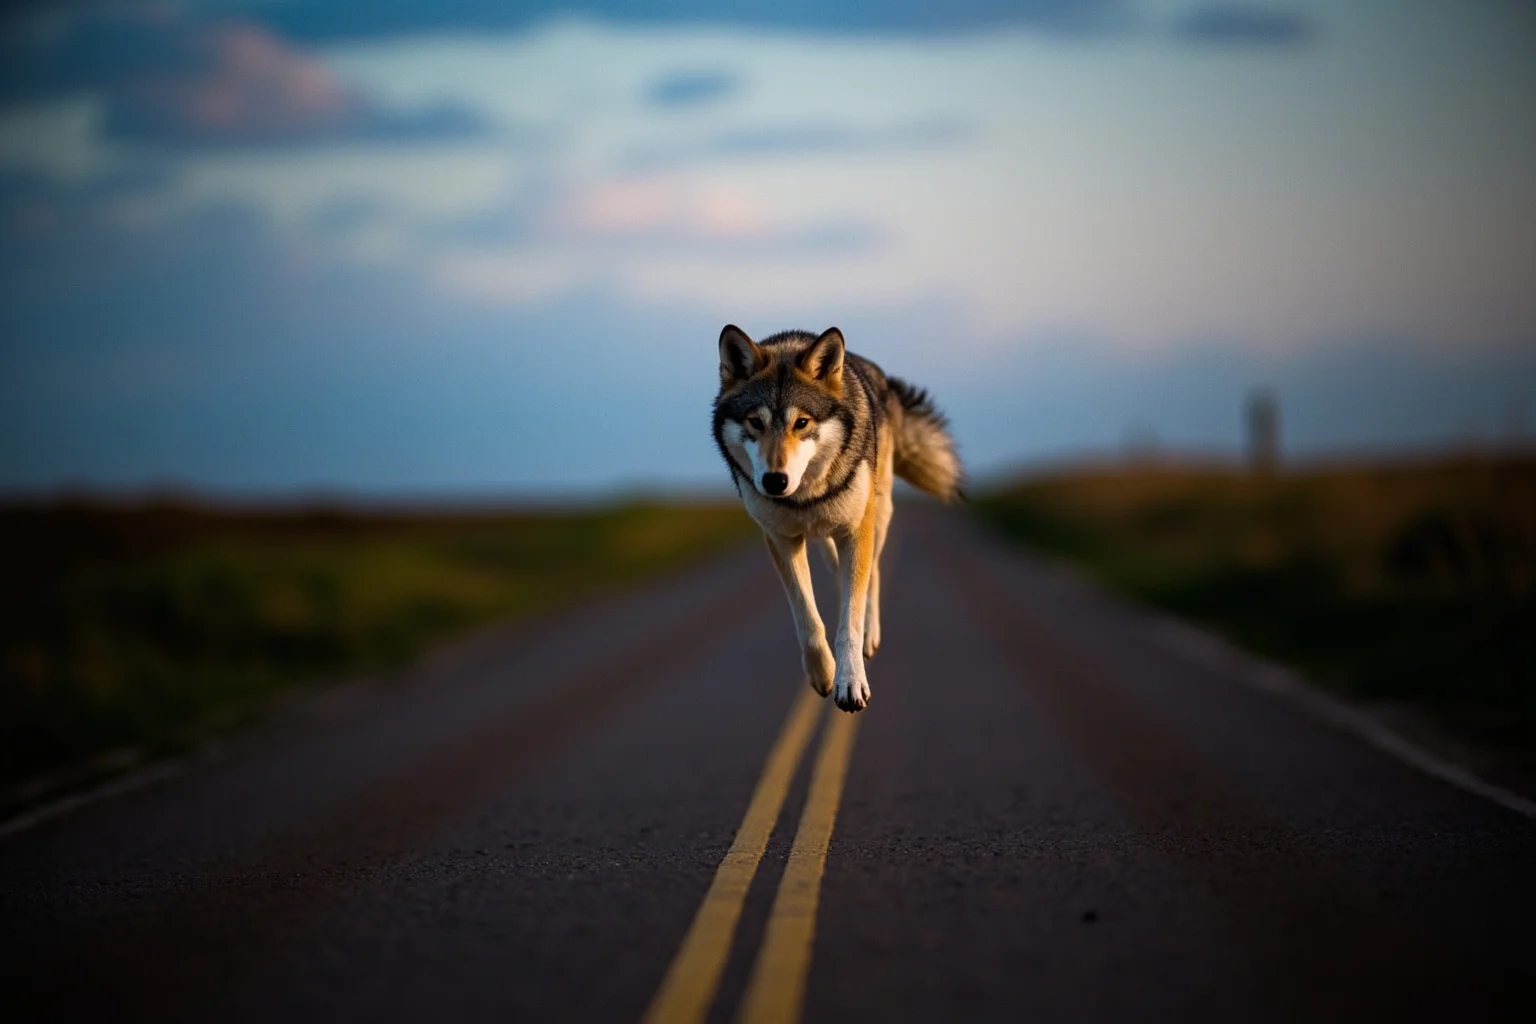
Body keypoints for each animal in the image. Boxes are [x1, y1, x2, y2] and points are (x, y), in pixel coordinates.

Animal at [712, 325, 962, 712]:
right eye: (755, 422)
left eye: (801, 423)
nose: (774, 481)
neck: (806, 497)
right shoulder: (782, 540)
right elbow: (808, 618)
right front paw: (823, 674)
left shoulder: (855, 531)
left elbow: (850, 620)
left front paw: (851, 683)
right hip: (828, 541)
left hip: (877, 516)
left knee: (871, 575)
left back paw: (870, 635)